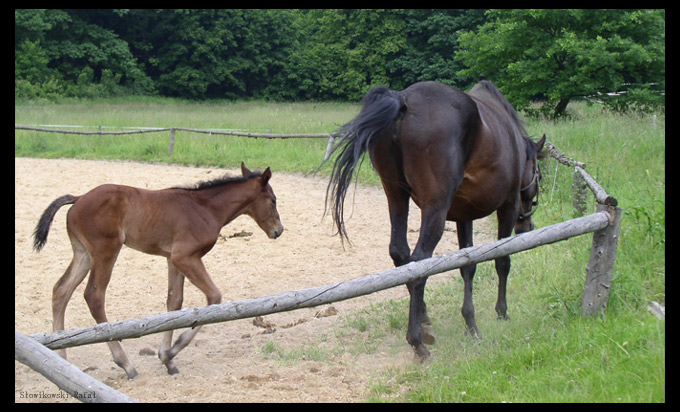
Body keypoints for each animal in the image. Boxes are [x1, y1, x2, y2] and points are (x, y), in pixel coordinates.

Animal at [33, 163, 284, 378]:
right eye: (272, 200)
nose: (278, 230)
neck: (205, 207)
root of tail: (78, 199)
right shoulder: (185, 257)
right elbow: (214, 297)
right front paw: (172, 350)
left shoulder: (174, 260)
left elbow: (174, 303)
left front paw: (167, 358)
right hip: (106, 252)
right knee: (94, 295)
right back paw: (126, 364)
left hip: (83, 254)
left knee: (61, 290)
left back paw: (61, 358)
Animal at [326, 79, 544, 360]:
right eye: (538, 175)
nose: (526, 225)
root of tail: (403, 100)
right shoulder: (507, 206)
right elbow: (502, 261)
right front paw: (502, 313)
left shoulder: (464, 216)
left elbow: (467, 265)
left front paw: (471, 324)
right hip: (435, 210)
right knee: (419, 261)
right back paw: (417, 341)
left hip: (396, 196)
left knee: (400, 254)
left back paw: (424, 322)